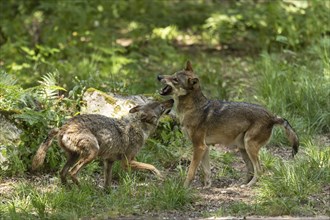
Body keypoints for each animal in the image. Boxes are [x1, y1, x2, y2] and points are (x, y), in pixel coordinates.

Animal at [31, 99, 174, 187]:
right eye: (162, 107)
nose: (172, 100)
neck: (139, 126)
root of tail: (63, 127)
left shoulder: (109, 162)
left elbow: (107, 182)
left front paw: (108, 194)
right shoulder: (127, 162)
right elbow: (152, 166)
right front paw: (161, 176)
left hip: (75, 156)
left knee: (63, 173)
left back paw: (69, 190)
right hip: (91, 154)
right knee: (72, 172)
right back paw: (83, 189)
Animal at [157, 61, 300, 187]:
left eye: (175, 79)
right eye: (172, 74)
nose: (158, 76)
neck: (193, 108)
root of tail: (272, 116)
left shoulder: (199, 146)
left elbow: (191, 172)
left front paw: (184, 188)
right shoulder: (205, 147)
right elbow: (207, 172)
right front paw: (207, 187)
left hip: (249, 146)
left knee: (259, 170)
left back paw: (248, 186)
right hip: (243, 149)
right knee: (251, 169)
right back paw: (241, 184)